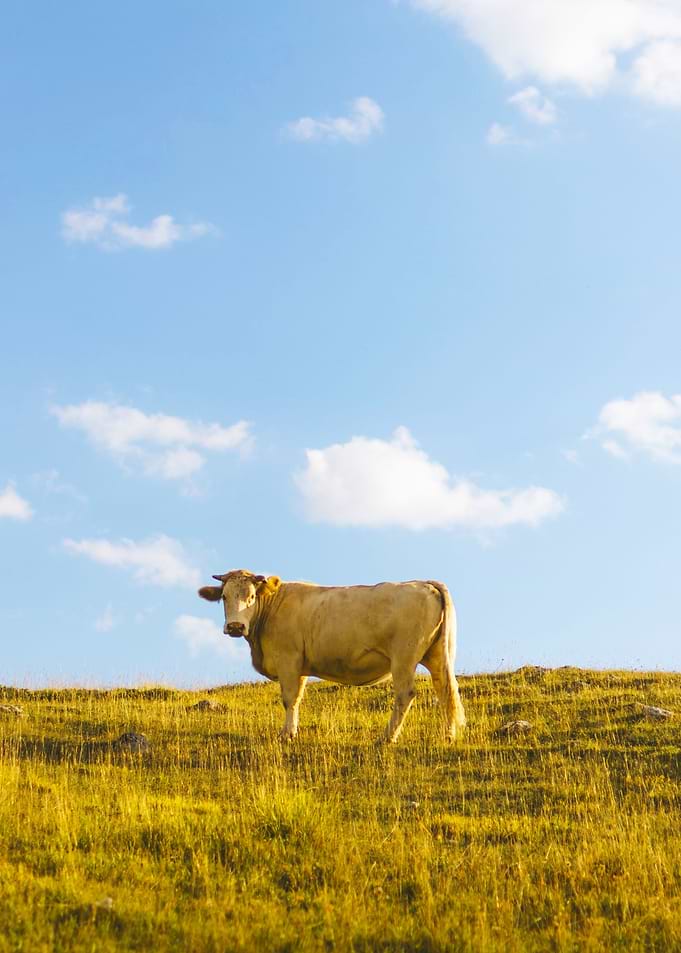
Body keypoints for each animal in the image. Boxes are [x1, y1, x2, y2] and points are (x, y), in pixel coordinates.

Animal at [198, 570, 466, 743]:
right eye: (224, 597)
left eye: (251, 597)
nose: (235, 626)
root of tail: (424, 583)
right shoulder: (300, 665)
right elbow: (297, 698)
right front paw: (292, 731)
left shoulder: (288, 659)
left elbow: (289, 698)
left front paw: (286, 735)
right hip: (438, 655)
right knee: (446, 690)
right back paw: (448, 734)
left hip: (404, 657)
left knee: (405, 694)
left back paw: (387, 737)